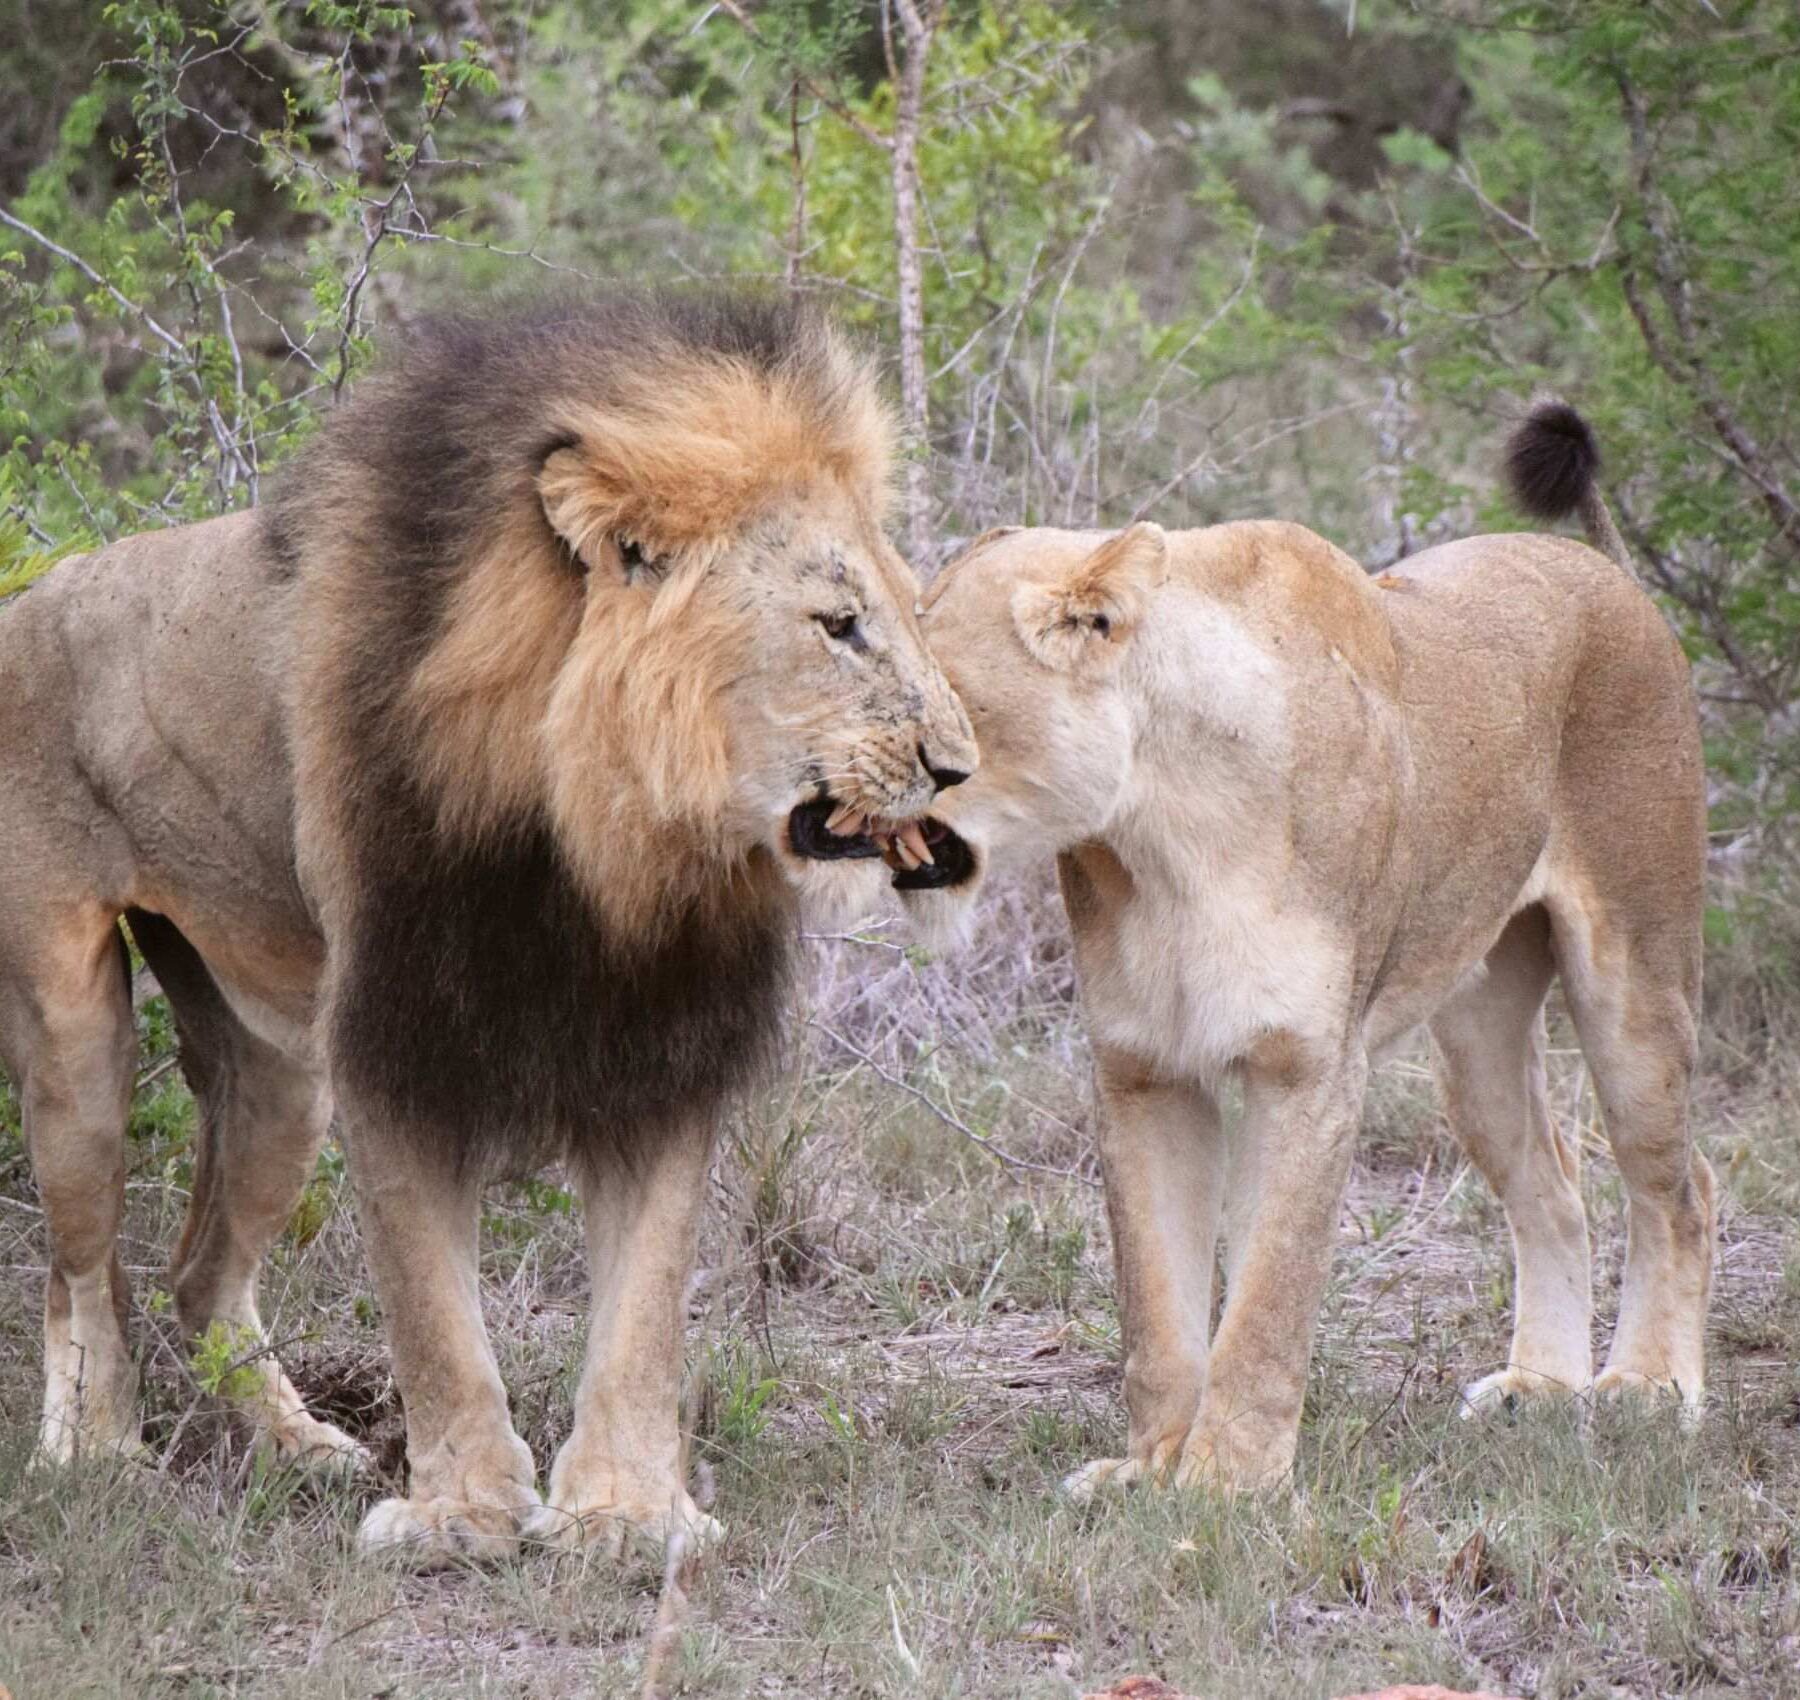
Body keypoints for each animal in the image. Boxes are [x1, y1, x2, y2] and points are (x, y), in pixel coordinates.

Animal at [0, 291, 976, 1563]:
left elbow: (645, 1305)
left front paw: (624, 1513)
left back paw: (299, 1443)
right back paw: (99, 1451)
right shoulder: (396, 1041)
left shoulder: (663, 1047)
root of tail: (30, 593)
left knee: (199, 1270)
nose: (959, 765)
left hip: (275, 1075)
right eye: (840, 623)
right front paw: (461, 1511)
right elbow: (431, 1311)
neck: (604, 844)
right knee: (78, 1263)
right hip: (75, 1025)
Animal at [890, 403, 1714, 1496]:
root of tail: (1607, 572)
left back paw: (1650, 1388)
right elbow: (1159, 1309)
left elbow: (1266, 1298)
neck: (1161, 829)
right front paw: (1148, 1468)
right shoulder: (1141, 1070)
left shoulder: (1310, 1068)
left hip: (1636, 985)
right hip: (1479, 1030)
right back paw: (1539, 1387)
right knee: (1553, 1184)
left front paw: (1227, 1483)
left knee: (1679, 1188)